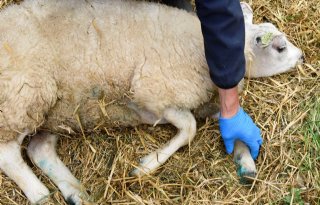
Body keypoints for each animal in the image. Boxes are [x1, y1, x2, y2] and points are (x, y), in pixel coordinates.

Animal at [0, 0, 304, 203]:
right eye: (280, 48)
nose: (302, 56)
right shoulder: (153, 94)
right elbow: (189, 128)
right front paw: (146, 165)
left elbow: (232, 125)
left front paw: (246, 162)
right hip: (24, 95)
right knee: (9, 155)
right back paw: (41, 195)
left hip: (58, 113)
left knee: (39, 150)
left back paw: (76, 192)